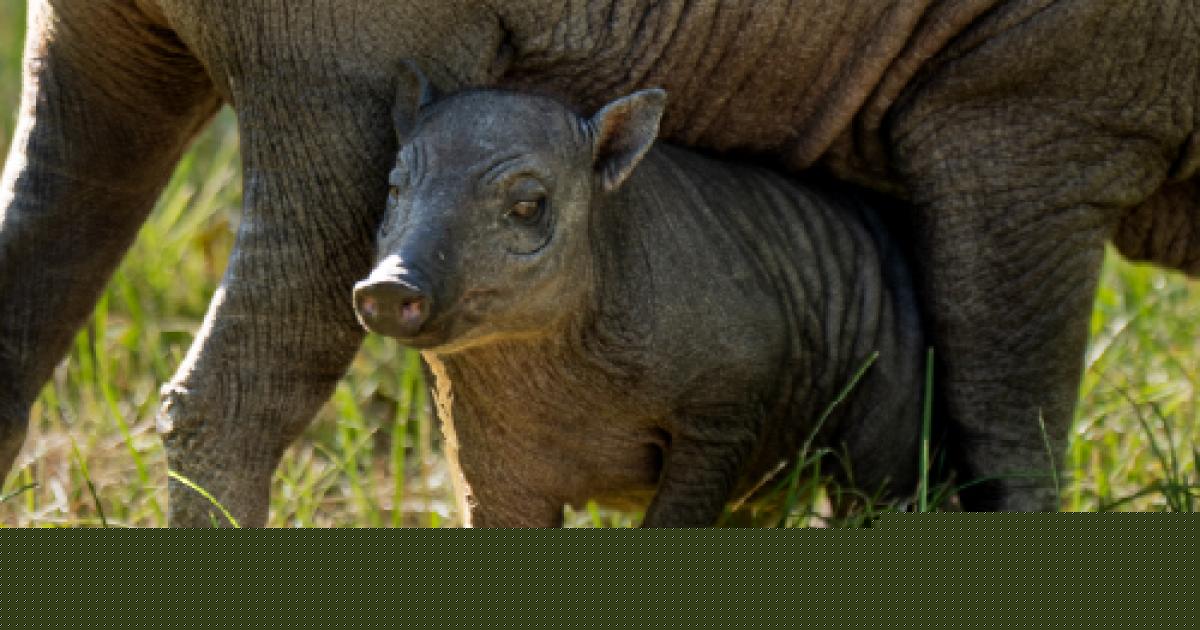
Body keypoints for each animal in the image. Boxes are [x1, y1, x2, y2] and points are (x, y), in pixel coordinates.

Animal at [353, 66, 925, 527]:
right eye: (395, 189)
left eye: (528, 205)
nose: (388, 287)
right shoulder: (480, 448)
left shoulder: (724, 411)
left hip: (887, 432)